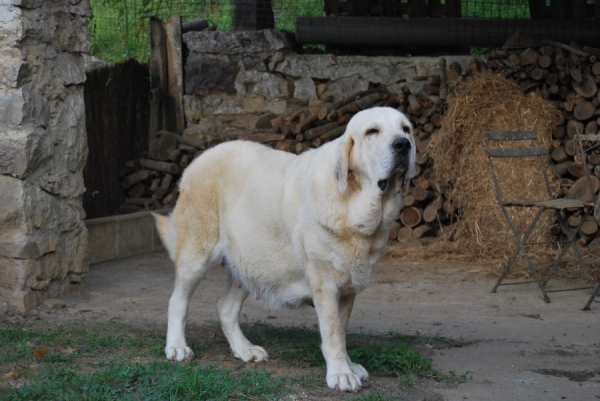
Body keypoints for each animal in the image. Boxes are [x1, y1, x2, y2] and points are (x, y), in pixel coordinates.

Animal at [155, 107, 414, 390]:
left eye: (406, 129)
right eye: (372, 132)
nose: (403, 145)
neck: (356, 208)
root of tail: (197, 161)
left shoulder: (347, 288)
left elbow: (341, 330)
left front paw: (349, 366)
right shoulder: (326, 284)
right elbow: (333, 333)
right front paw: (341, 374)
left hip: (251, 262)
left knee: (225, 308)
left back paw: (244, 350)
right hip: (197, 255)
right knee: (177, 300)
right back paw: (177, 347)